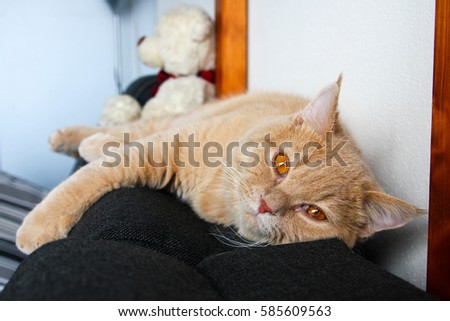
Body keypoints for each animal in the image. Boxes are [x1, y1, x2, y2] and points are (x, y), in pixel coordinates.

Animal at [14, 76, 422, 254]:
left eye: (314, 213)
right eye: (281, 163)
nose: (266, 204)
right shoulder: (170, 143)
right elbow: (95, 174)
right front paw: (40, 225)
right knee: (133, 128)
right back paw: (74, 137)